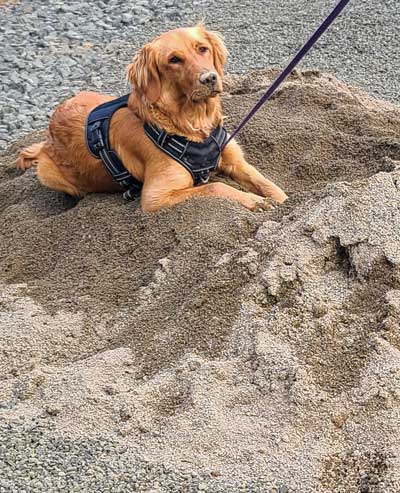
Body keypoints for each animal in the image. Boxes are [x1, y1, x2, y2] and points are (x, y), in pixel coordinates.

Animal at [14, 23, 284, 211]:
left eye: (202, 49)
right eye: (174, 60)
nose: (209, 78)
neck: (194, 124)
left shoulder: (235, 160)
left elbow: (265, 182)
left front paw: (283, 201)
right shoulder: (156, 196)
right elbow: (215, 187)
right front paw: (254, 201)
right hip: (47, 172)